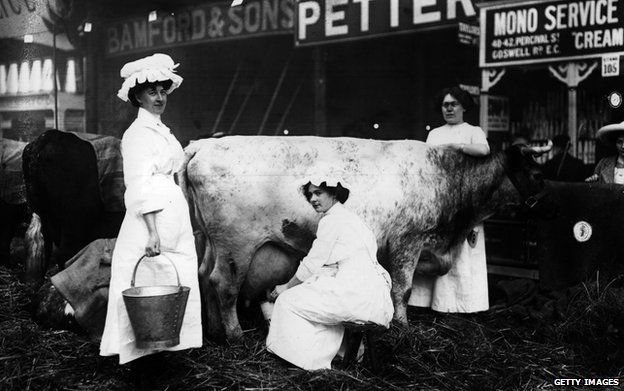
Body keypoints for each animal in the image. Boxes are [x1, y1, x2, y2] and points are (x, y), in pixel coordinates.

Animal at [182, 136, 552, 338]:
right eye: (536, 174)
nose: (550, 206)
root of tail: (204, 145)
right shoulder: (408, 240)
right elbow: (403, 289)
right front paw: (402, 326)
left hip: (211, 241)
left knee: (203, 275)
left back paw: (214, 329)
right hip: (236, 245)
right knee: (223, 284)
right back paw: (234, 335)